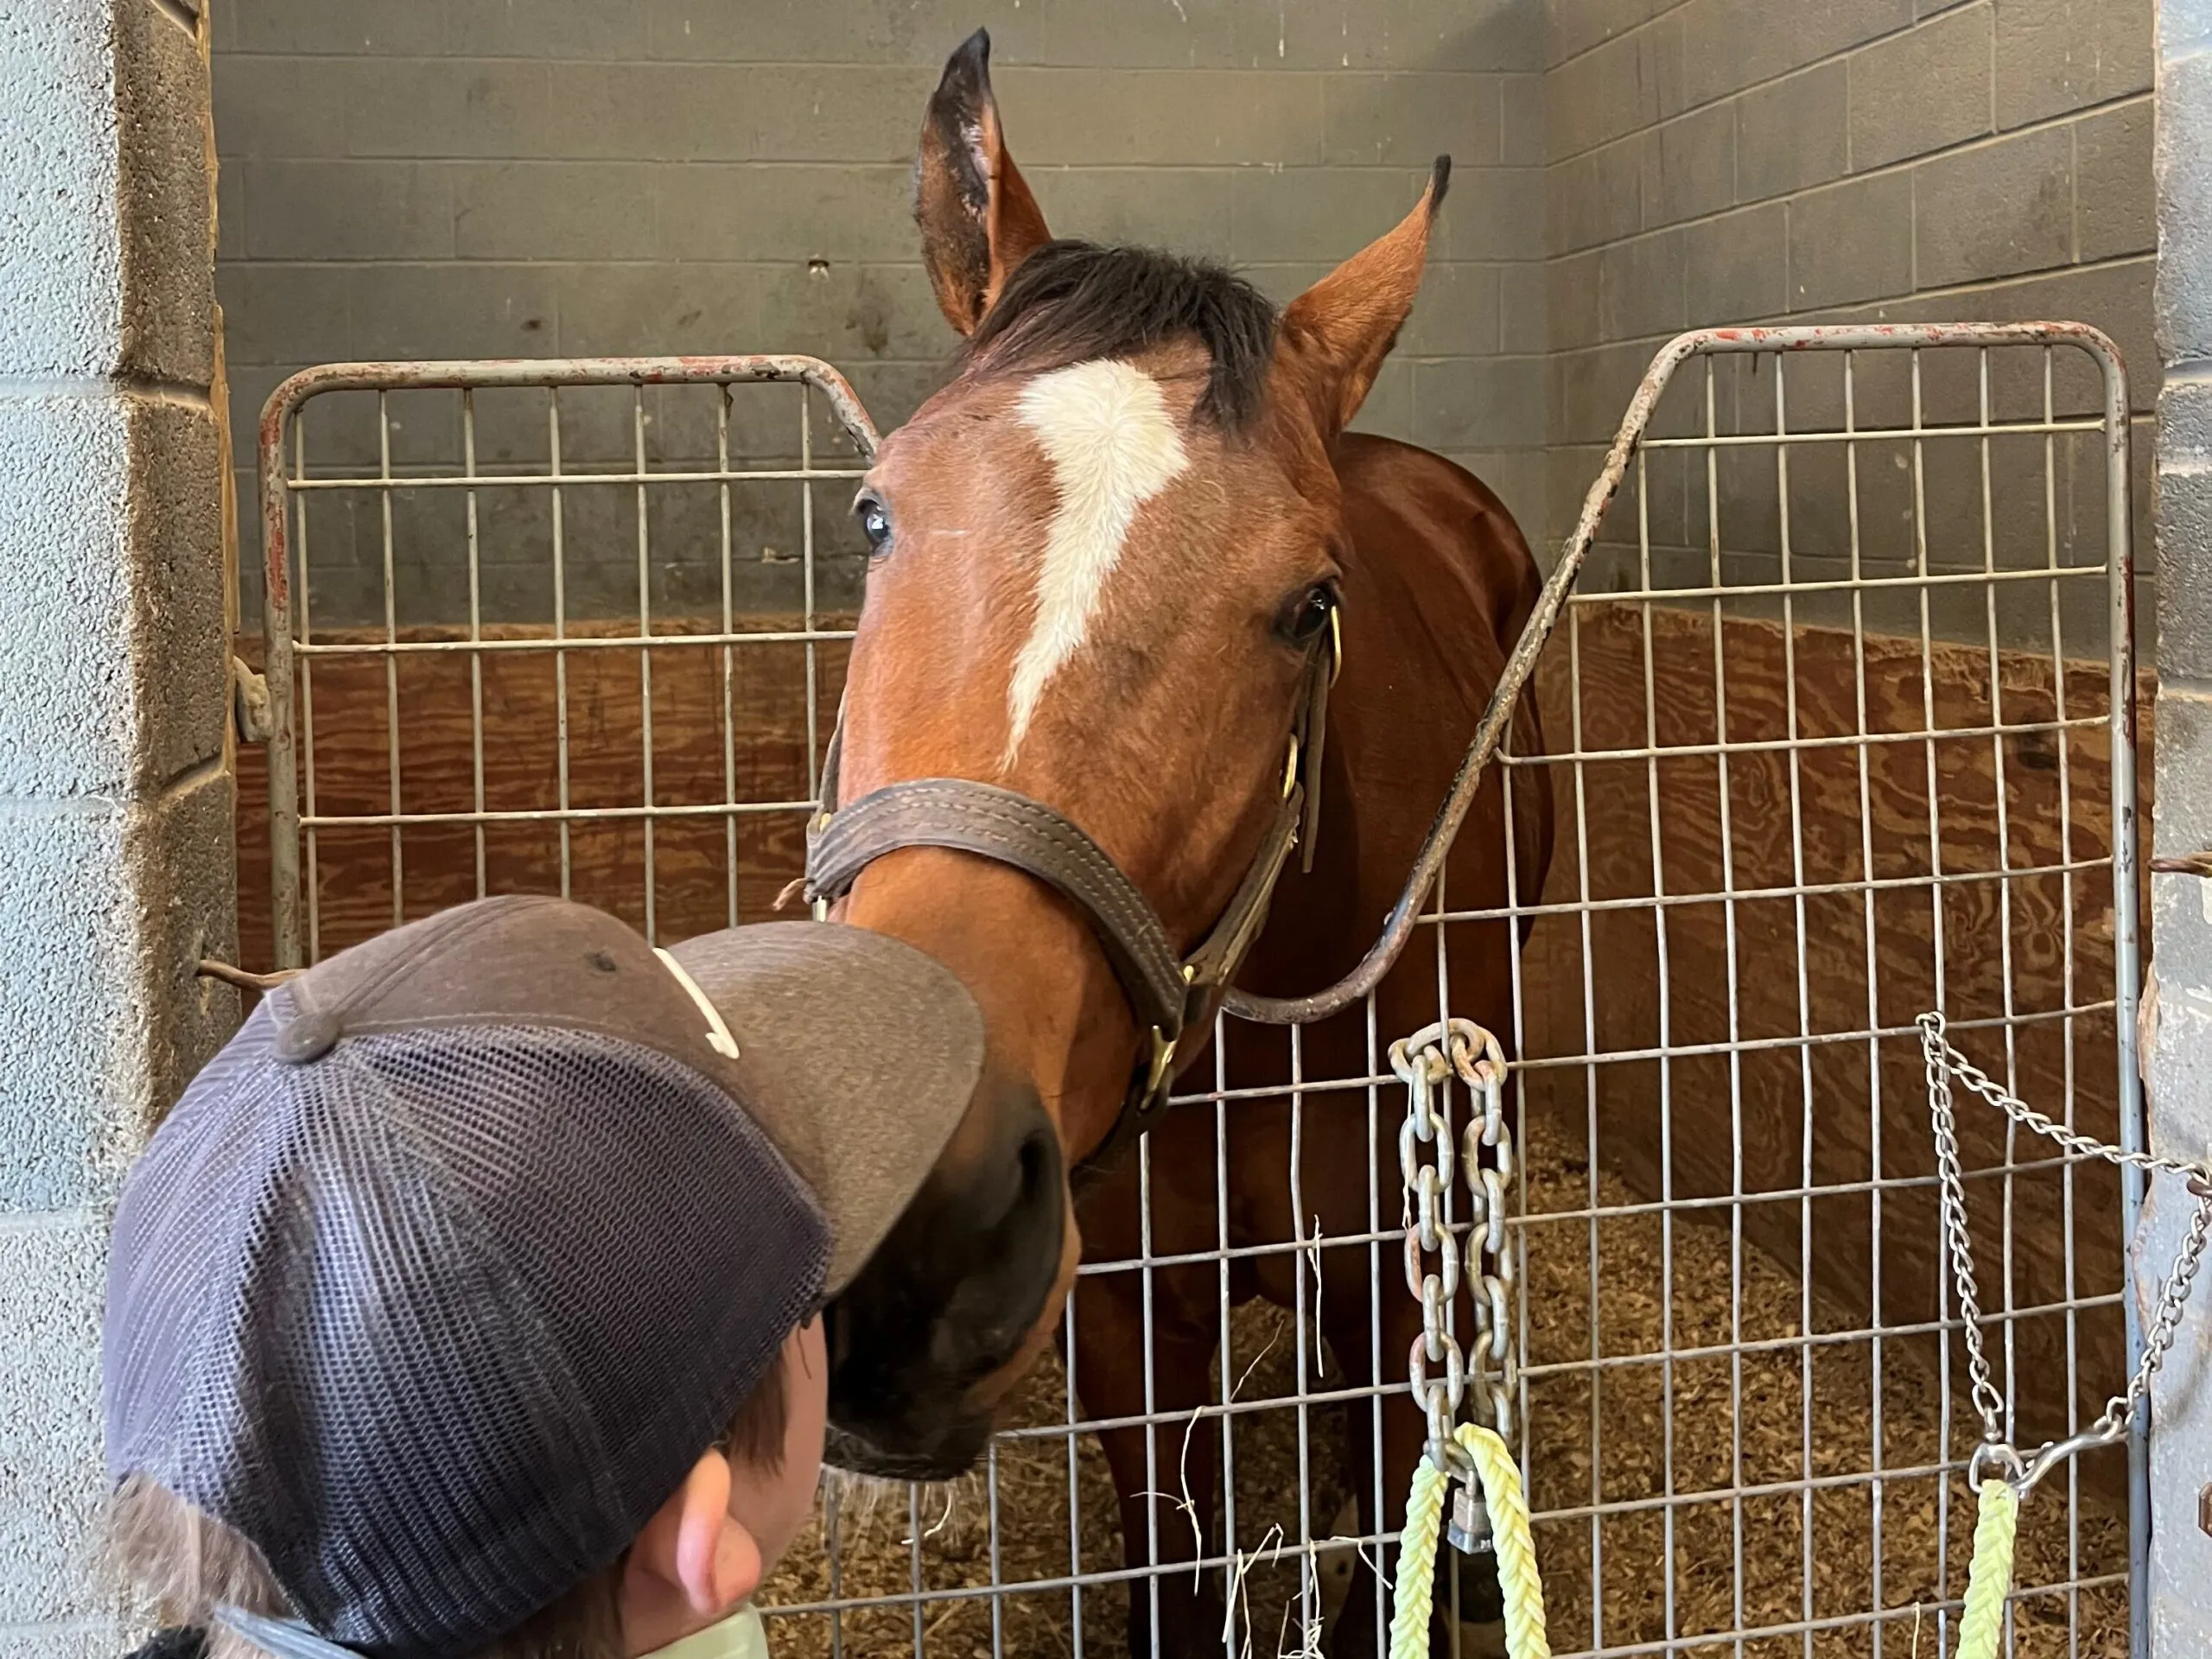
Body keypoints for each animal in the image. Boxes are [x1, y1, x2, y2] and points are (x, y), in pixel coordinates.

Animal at [814, 32, 1557, 1659]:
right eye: (876, 514)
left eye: (1311, 601)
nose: (923, 1214)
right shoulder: (1124, 1323)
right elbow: (1174, 1566)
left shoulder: (1379, 1286)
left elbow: (1381, 1550)